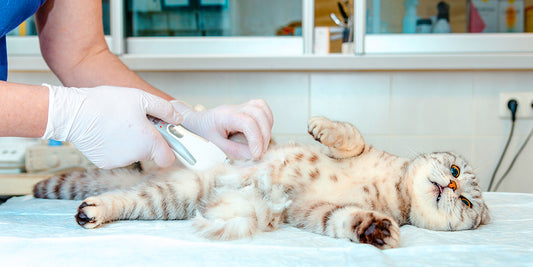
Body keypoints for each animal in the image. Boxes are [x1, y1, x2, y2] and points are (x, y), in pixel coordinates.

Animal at [33, 116, 490, 250]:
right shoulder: (357, 151)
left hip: (171, 198)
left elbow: (345, 220)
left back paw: (93, 211)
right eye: (454, 172)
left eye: (467, 204)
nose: (452, 189)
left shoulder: (312, 212)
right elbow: (351, 136)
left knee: (126, 199)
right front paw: (322, 126)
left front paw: (376, 230)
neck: (390, 188)